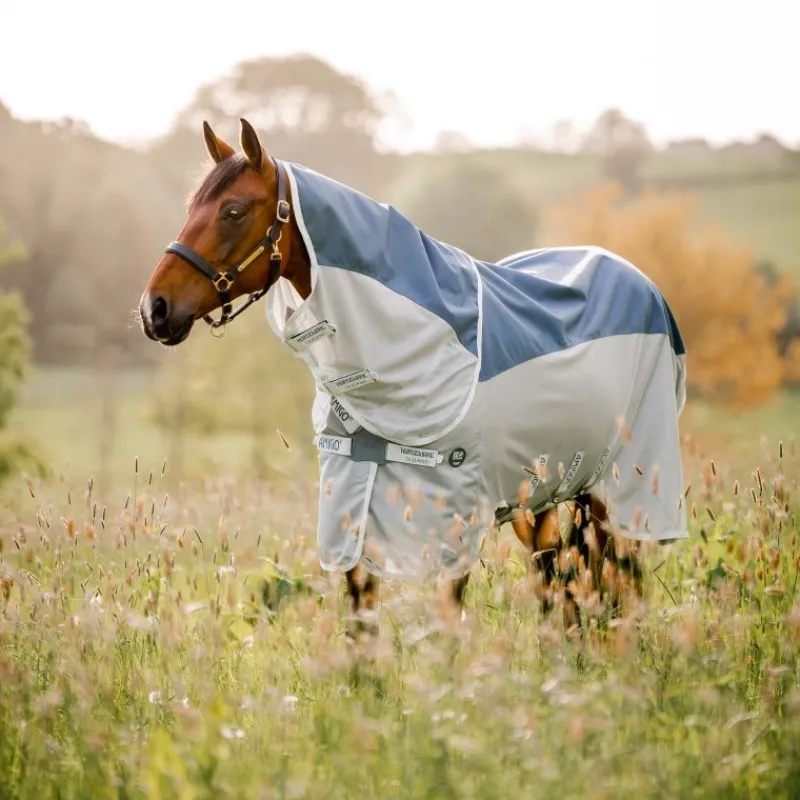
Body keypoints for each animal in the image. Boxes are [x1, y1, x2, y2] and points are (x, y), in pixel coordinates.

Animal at [139, 118, 688, 636]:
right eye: (192, 205)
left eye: (233, 211)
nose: (154, 309)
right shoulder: (353, 507)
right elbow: (361, 619)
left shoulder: (453, 517)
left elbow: (447, 620)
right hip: (544, 499)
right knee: (559, 590)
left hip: (617, 495)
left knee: (617, 583)